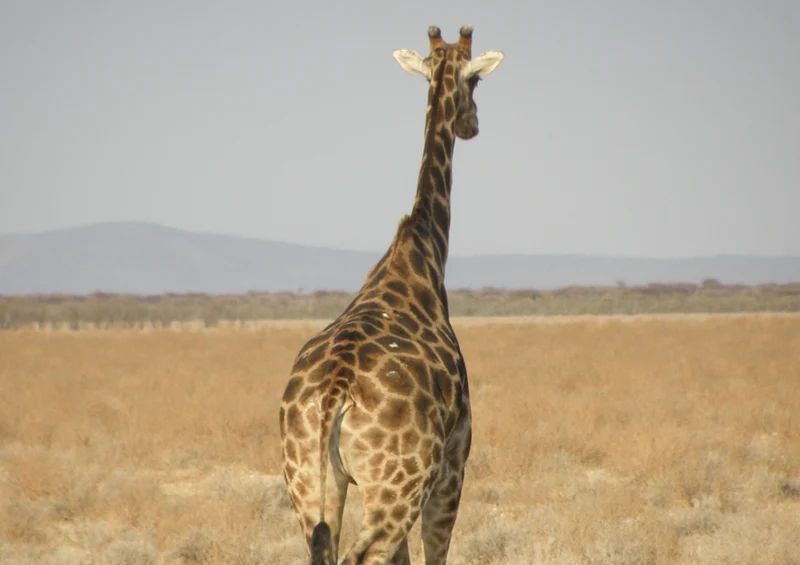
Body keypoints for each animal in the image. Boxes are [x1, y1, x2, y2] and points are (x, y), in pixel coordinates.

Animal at [279, 25, 503, 565]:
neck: (422, 254)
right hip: (399, 482)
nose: (473, 125)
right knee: (362, 556)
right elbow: (435, 553)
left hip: (307, 479)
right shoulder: (454, 460)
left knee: (321, 548)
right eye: (477, 81)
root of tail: (332, 394)